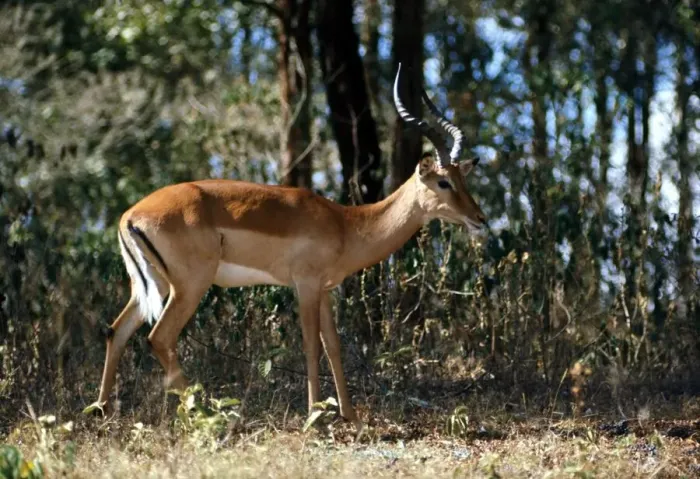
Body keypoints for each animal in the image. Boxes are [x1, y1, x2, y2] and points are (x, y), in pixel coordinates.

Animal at [93, 64, 487, 429]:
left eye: (463, 178)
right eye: (443, 182)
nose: (480, 219)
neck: (346, 224)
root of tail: (130, 215)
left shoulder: (325, 290)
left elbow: (333, 346)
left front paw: (351, 417)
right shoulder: (306, 285)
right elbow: (311, 346)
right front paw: (314, 416)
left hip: (151, 287)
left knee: (116, 331)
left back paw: (102, 411)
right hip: (189, 286)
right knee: (159, 337)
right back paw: (207, 414)